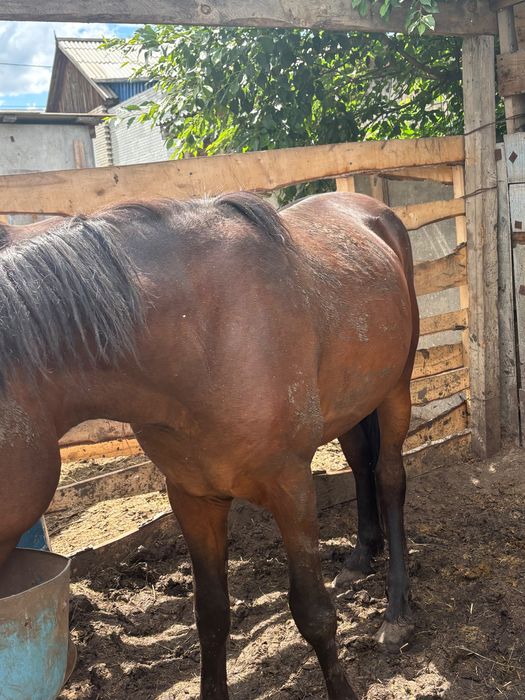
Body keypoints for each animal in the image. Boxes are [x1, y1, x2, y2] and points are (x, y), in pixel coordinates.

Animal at [0, 191, 418, 700]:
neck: (200, 338)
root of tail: (372, 209)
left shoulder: (292, 486)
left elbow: (313, 613)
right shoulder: (192, 497)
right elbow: (212, 614)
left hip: (396, 387)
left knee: (389, 478)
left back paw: (397, 613)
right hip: (353, 404)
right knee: (360, 463)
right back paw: (360, 557)